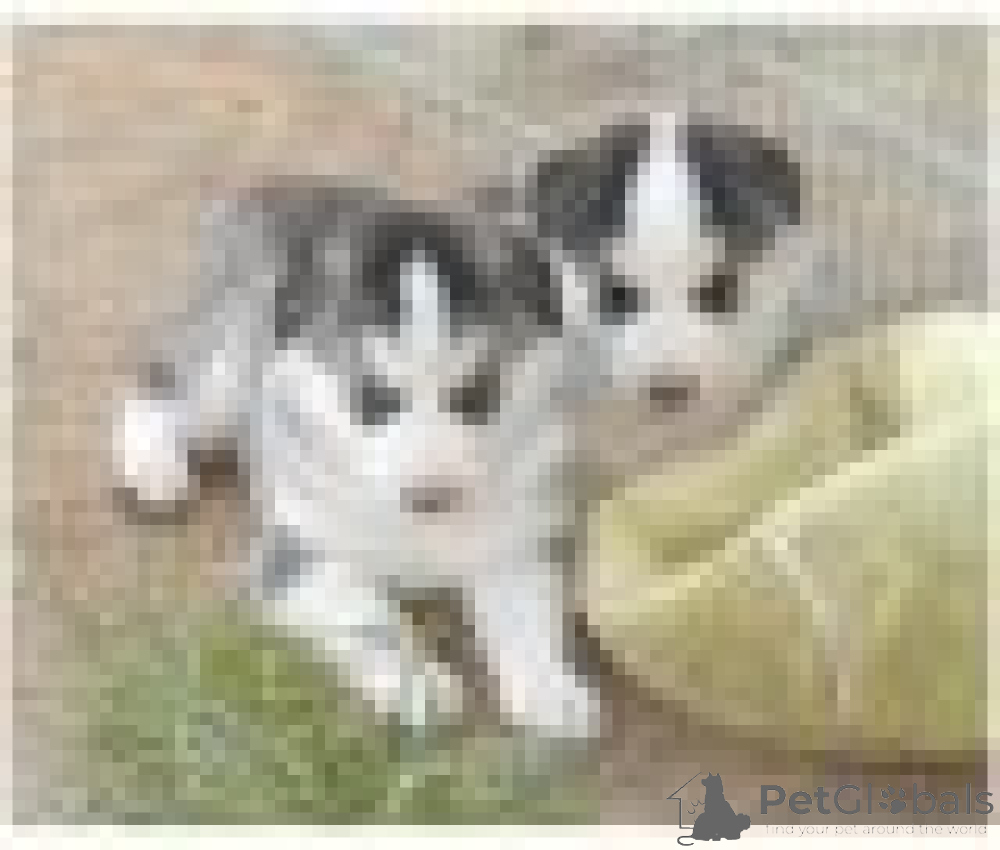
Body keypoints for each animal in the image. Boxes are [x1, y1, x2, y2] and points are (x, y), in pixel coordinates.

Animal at [109, 179, 600, 742]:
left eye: (478, 393)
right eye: (372, 398)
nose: (431, 497)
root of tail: (273, 189)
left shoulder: (517, 537)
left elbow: (527, 615)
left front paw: (549, 690)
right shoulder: (298, 556)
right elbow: (371, 620)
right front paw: (416, 683)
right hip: (225, 374)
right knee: (157, 386)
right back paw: (153, 472)